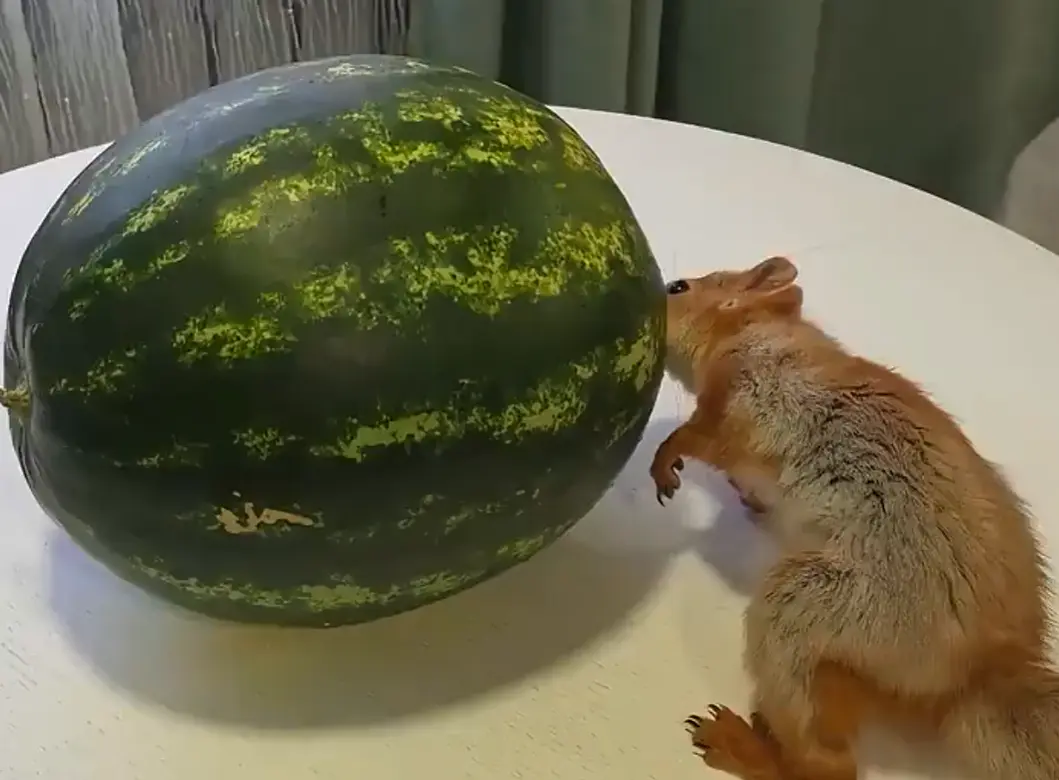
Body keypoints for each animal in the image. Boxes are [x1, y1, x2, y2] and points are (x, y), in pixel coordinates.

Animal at [650, 255, 1059, 780]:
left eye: (680, 288)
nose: (656, 294)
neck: (756, 328)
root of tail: (976, 672)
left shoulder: (742, 398)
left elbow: (700, 438)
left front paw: (666, 460)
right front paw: (750, 498)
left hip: (825, 608)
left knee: (829, 767)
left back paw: (742, 745)